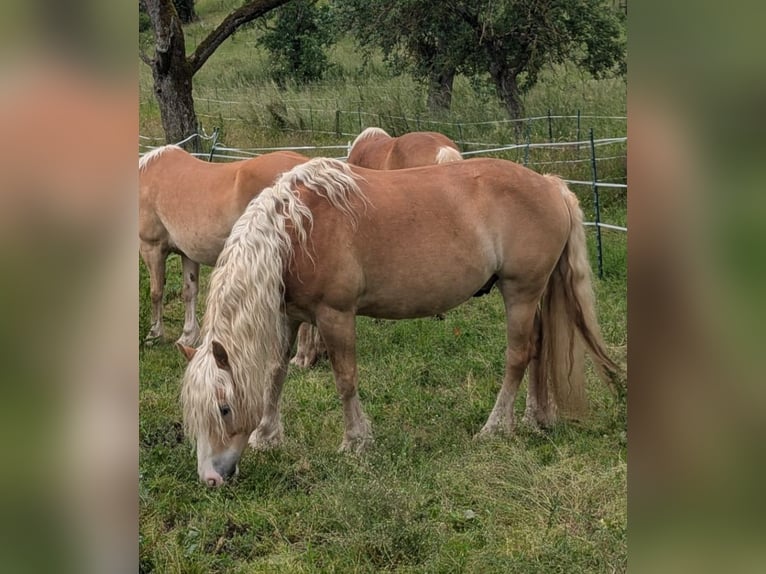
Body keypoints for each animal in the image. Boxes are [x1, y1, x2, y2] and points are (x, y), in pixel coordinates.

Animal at [139, 145, 322, 367]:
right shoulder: (188, 253)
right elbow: (189, 291)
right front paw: (188, 336)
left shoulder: (152, 248)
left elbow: (156, 292)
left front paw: (154, 334)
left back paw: (302, 357)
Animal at [180, 157, 621, 487]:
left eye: (223, 409)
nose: (210, 479)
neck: (297, 230)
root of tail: (550, 185)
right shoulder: (290, 317)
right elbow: (274, 373)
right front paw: (268, 436)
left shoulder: (335, 316)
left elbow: (345, 379)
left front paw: (356, 442)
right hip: (535, 294)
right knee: (539, 349)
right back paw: (536, 418)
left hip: (521, 292)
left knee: (518, 356)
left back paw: (495, 427)